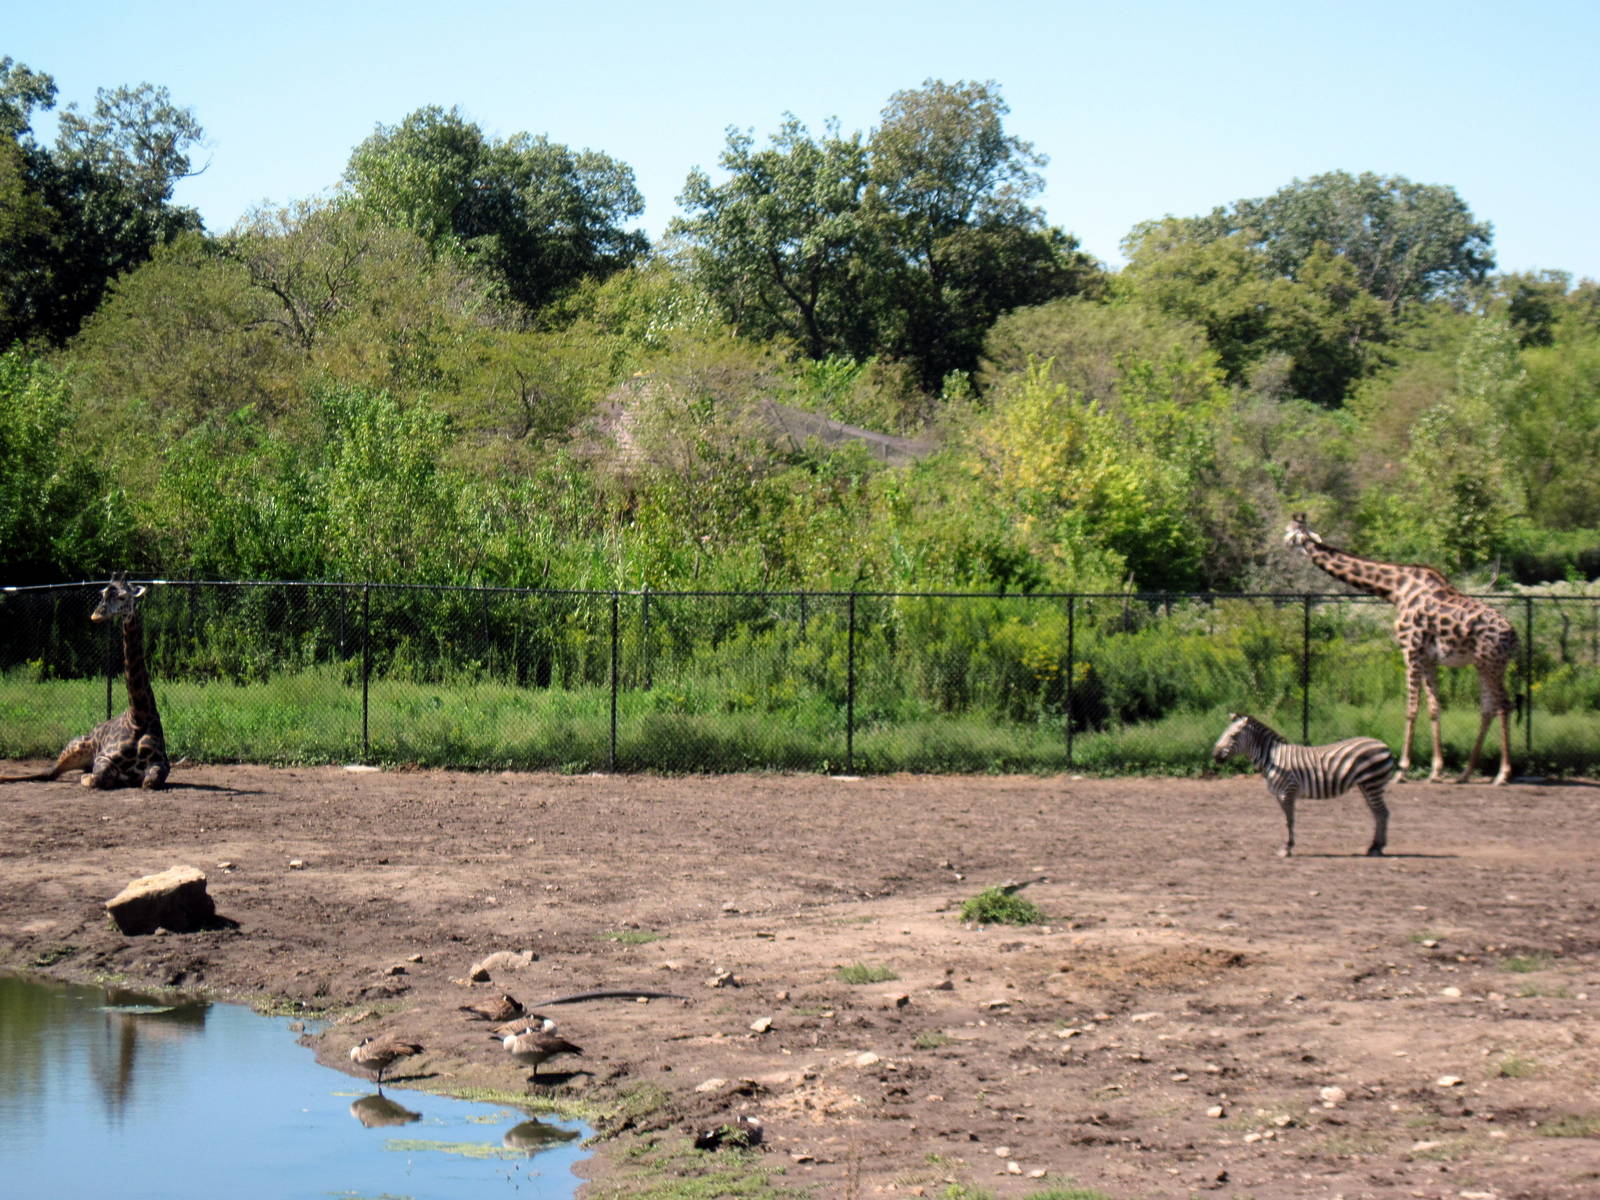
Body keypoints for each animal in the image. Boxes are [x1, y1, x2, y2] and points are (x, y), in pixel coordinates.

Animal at [2, 574, 170, 789]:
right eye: (103, 593)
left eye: (123, 596)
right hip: (76, 746)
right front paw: (91, 778)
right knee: (49, 772)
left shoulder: (161, 763)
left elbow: (150, 781)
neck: (139, 717)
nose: (96, 615)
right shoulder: (102, 758)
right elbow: (99, 777)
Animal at [1211, 713, 1397, 857]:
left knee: (1382, 813)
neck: (1272, 759)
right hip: (1366, 785)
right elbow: (1287, 820)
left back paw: (1377, 848)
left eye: (1233, 736)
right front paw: (1287, 846)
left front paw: (1287, 848)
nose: (1214, 756)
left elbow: (1290, 820)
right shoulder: (1280, 795)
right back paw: (1374, 846)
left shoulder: (1288, 791)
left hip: (1373, 783)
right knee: (1377, 813)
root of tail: (1384, 745)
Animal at [1284, 514, 1516, 785]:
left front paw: (1402, 770)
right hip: (1483, 664)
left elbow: (1411, 708)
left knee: (1504, 705)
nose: (1284, 544)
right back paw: (1465, 773)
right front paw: (1436, 771)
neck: (1395, 589)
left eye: (1291, 533)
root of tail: (1513, 636)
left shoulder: (1410, 650)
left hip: (1492, 663)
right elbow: (1434, 708)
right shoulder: (1429, 659)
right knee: (1488, 708)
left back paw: (1502, 774)